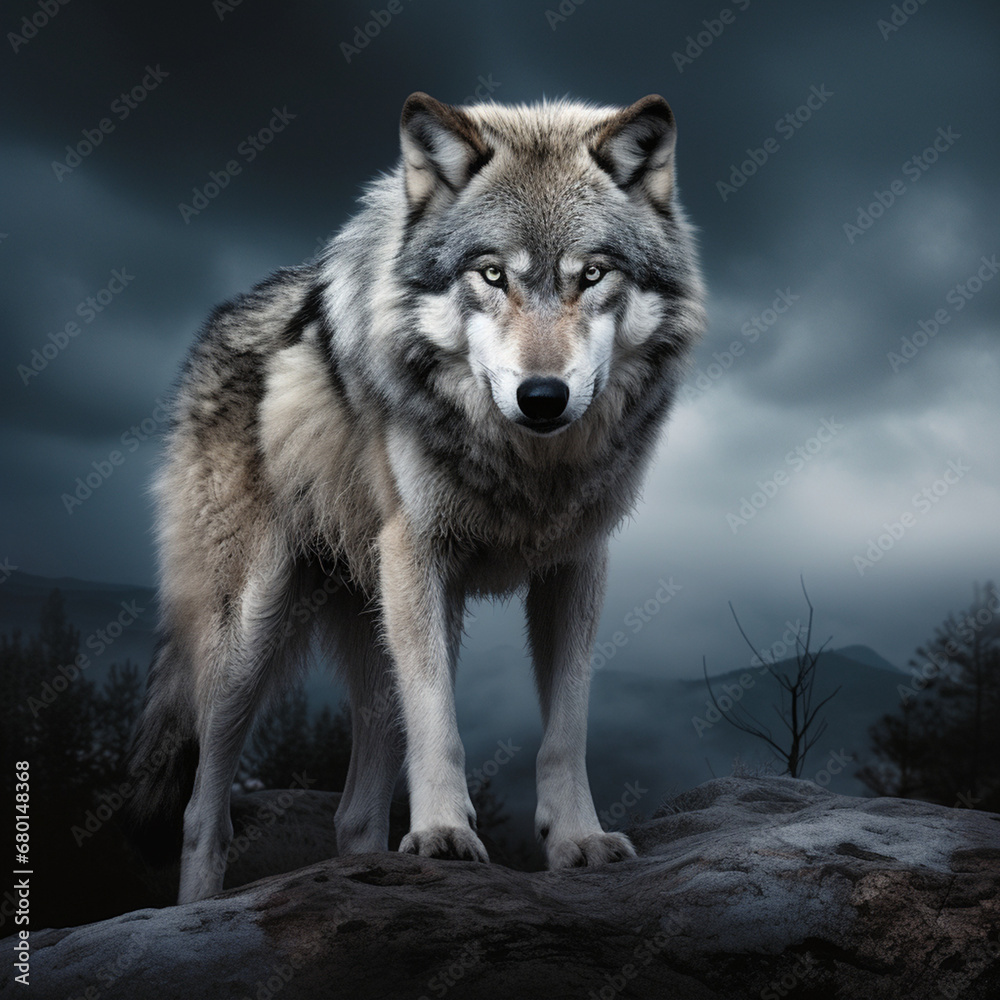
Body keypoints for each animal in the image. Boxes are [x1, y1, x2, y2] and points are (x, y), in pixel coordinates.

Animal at [125, 91, 705, 905]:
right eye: (491, 275)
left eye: (592, 275)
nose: (543, 396)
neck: (526, 468)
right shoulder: (420, 554)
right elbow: (441, 722)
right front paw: (442, 835)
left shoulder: (576, 565)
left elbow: (566, 730)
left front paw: (579, 841)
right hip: (249, 637)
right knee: (202, 813)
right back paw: (200, 909)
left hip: (380, 634)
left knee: (352, 815)